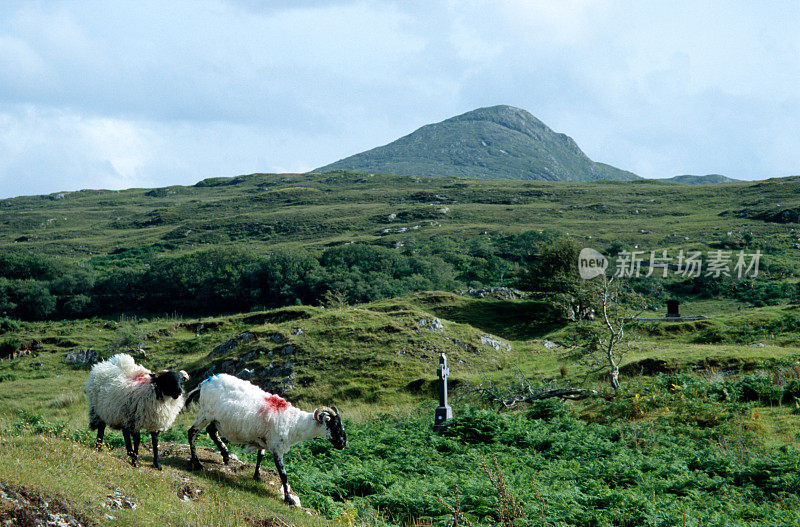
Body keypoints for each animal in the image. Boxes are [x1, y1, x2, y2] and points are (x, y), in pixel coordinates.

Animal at [184, 374, 346, 506]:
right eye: (333, 424)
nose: (343, 444)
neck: (294, 423)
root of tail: (204, 382)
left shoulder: (263, 439)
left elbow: (260, 456)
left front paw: (257, 476)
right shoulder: (277, 448)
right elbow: (283, 475)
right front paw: (289, 499)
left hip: (217, 419)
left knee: (211, 431)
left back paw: (225, 454)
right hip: (205, 413)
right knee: (192, 433)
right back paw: (197, 463)